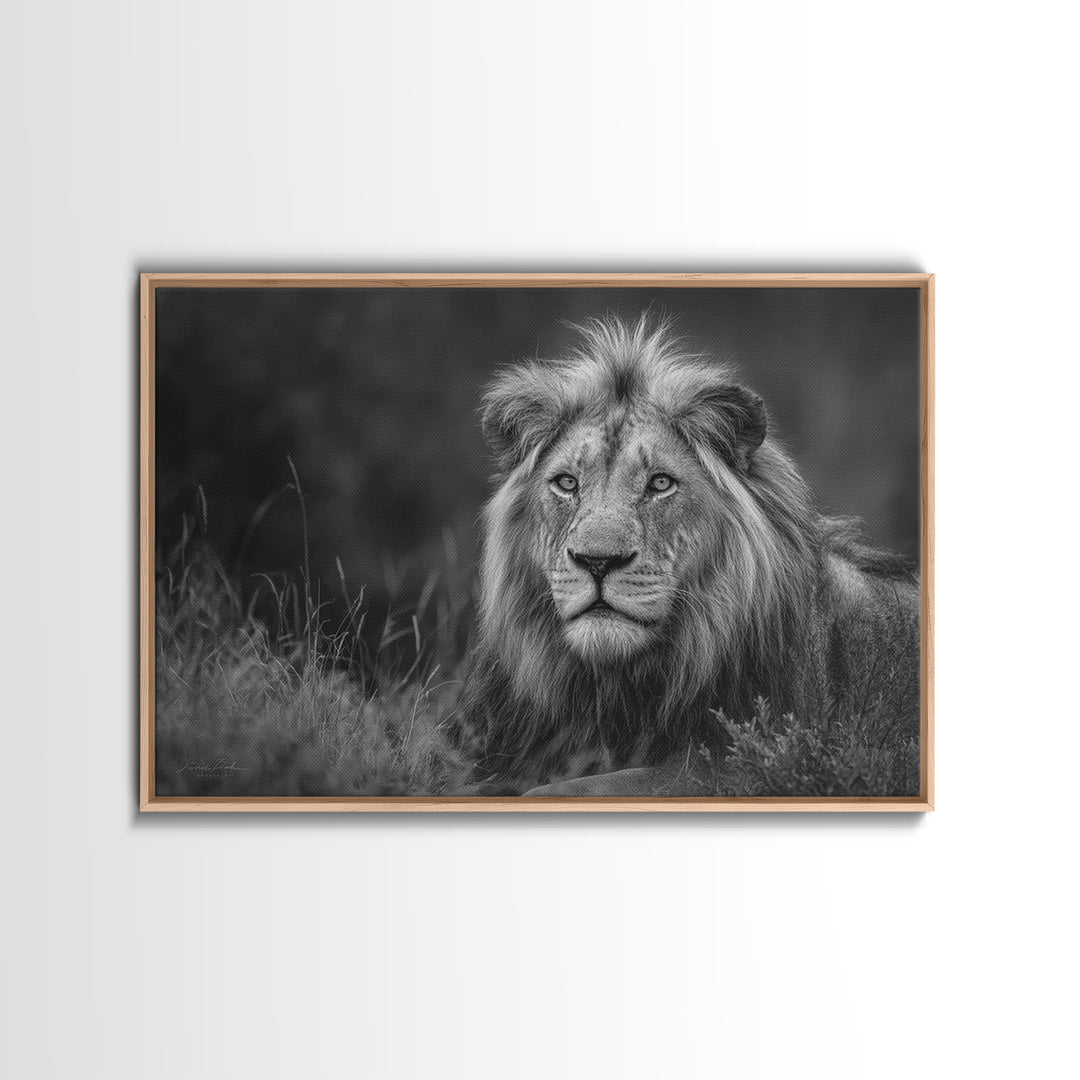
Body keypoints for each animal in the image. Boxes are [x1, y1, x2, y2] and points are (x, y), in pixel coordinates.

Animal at [460, 315, 920, 797]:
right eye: (567, 483)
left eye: (661, 483)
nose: (598, 561)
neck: (613, 689)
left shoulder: (739, 766)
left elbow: (570, 789)